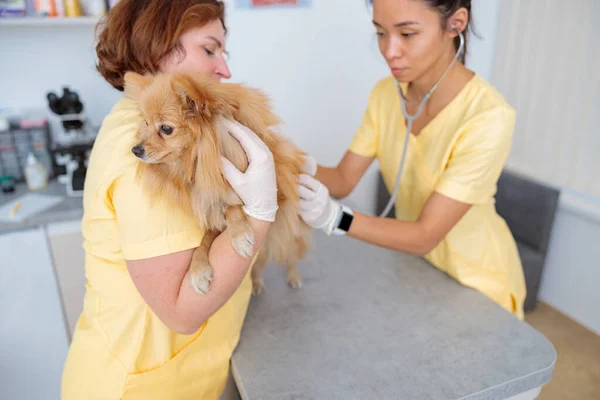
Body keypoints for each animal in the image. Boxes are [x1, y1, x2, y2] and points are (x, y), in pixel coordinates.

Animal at [120, 71, 310, 296]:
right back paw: (256, 282)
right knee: (258, 265)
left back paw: (294, 276)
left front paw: (239, 234)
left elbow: (233, 205)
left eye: (165, 129)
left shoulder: (277, 193)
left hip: (289, 231)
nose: (135, 149)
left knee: (290, 254)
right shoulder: (212, 210)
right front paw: (198, 269)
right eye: (146, 123)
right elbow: (204, 240)